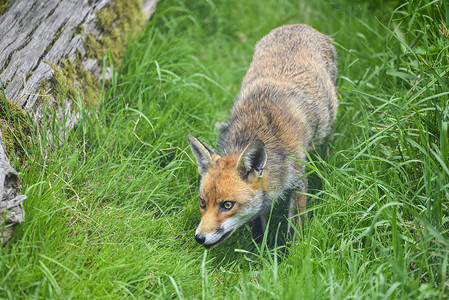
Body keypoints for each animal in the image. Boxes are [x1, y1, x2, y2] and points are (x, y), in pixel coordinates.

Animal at [186, 24, 336, 248]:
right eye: (203, 203)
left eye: (227, 205)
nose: (199, 238)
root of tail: (298, 25)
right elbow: (258, 228)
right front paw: (260, 252)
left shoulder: (299, 181)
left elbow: (294, 230)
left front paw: (291, 254)